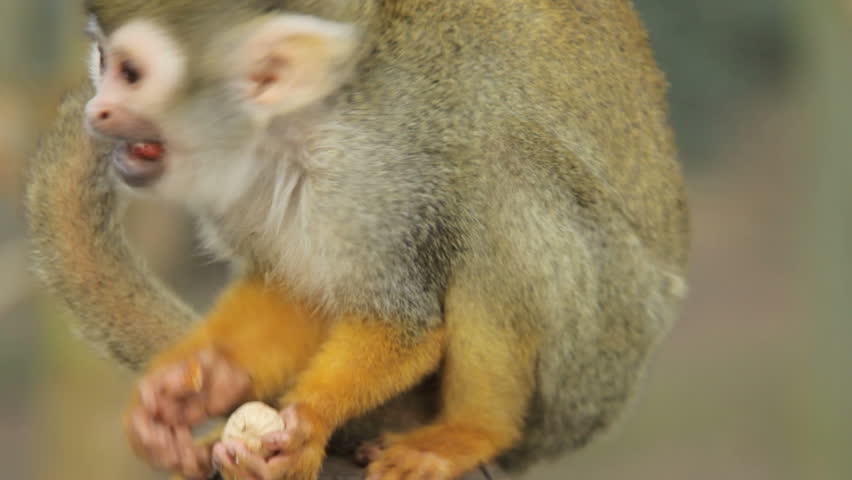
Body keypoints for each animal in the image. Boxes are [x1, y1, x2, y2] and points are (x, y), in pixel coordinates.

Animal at [26, 1, 690, 480]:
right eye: (102, 60)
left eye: (131, 73)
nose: (99, 110)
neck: (290, 134)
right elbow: (290, 292)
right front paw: (194, 385)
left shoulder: (374, 175)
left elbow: (403, 323)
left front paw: (310, 424)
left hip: (597, 352)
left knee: (507, 173)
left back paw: (474, 431)